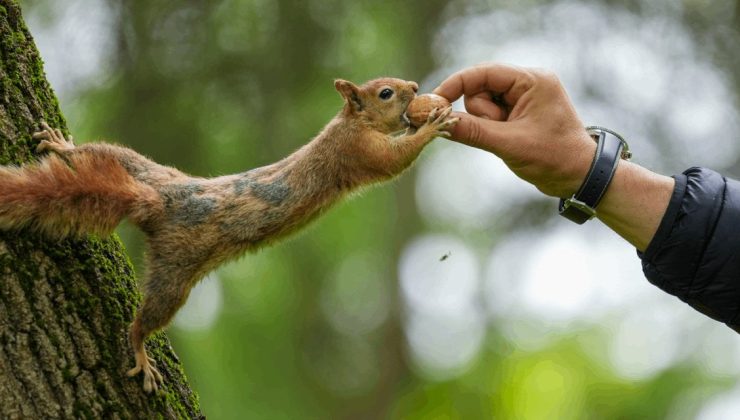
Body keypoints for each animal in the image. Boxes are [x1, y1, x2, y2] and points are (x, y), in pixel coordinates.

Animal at [0, 77, 456, 392]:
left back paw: (62, 146)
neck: (347, 121)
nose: (416, 88)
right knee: (144, 322)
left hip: (138, 167)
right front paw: (430, 127)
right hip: (175, 273)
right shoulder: (357, 149)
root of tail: (156, 201)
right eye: (385, 92)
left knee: (102, 153)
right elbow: (393, 162)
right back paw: (141, 354)